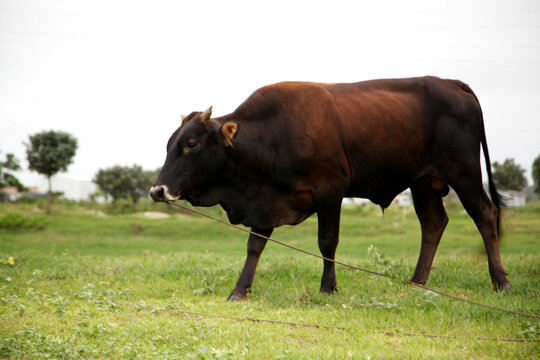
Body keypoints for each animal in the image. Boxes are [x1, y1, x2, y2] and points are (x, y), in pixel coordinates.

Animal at [149, 76, 510, 300]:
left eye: (191, 145)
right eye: (170, 144)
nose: (157, 191)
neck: (275, 134)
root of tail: (451, 83)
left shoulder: (330, 192)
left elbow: (327, 241)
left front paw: (328, 288)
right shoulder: (266, 202)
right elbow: (254, 247)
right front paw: (240, 290)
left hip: (463, 171)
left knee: (485, 214)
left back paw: (500, 280)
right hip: (422, 182)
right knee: (434, 223)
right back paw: (417, 281)